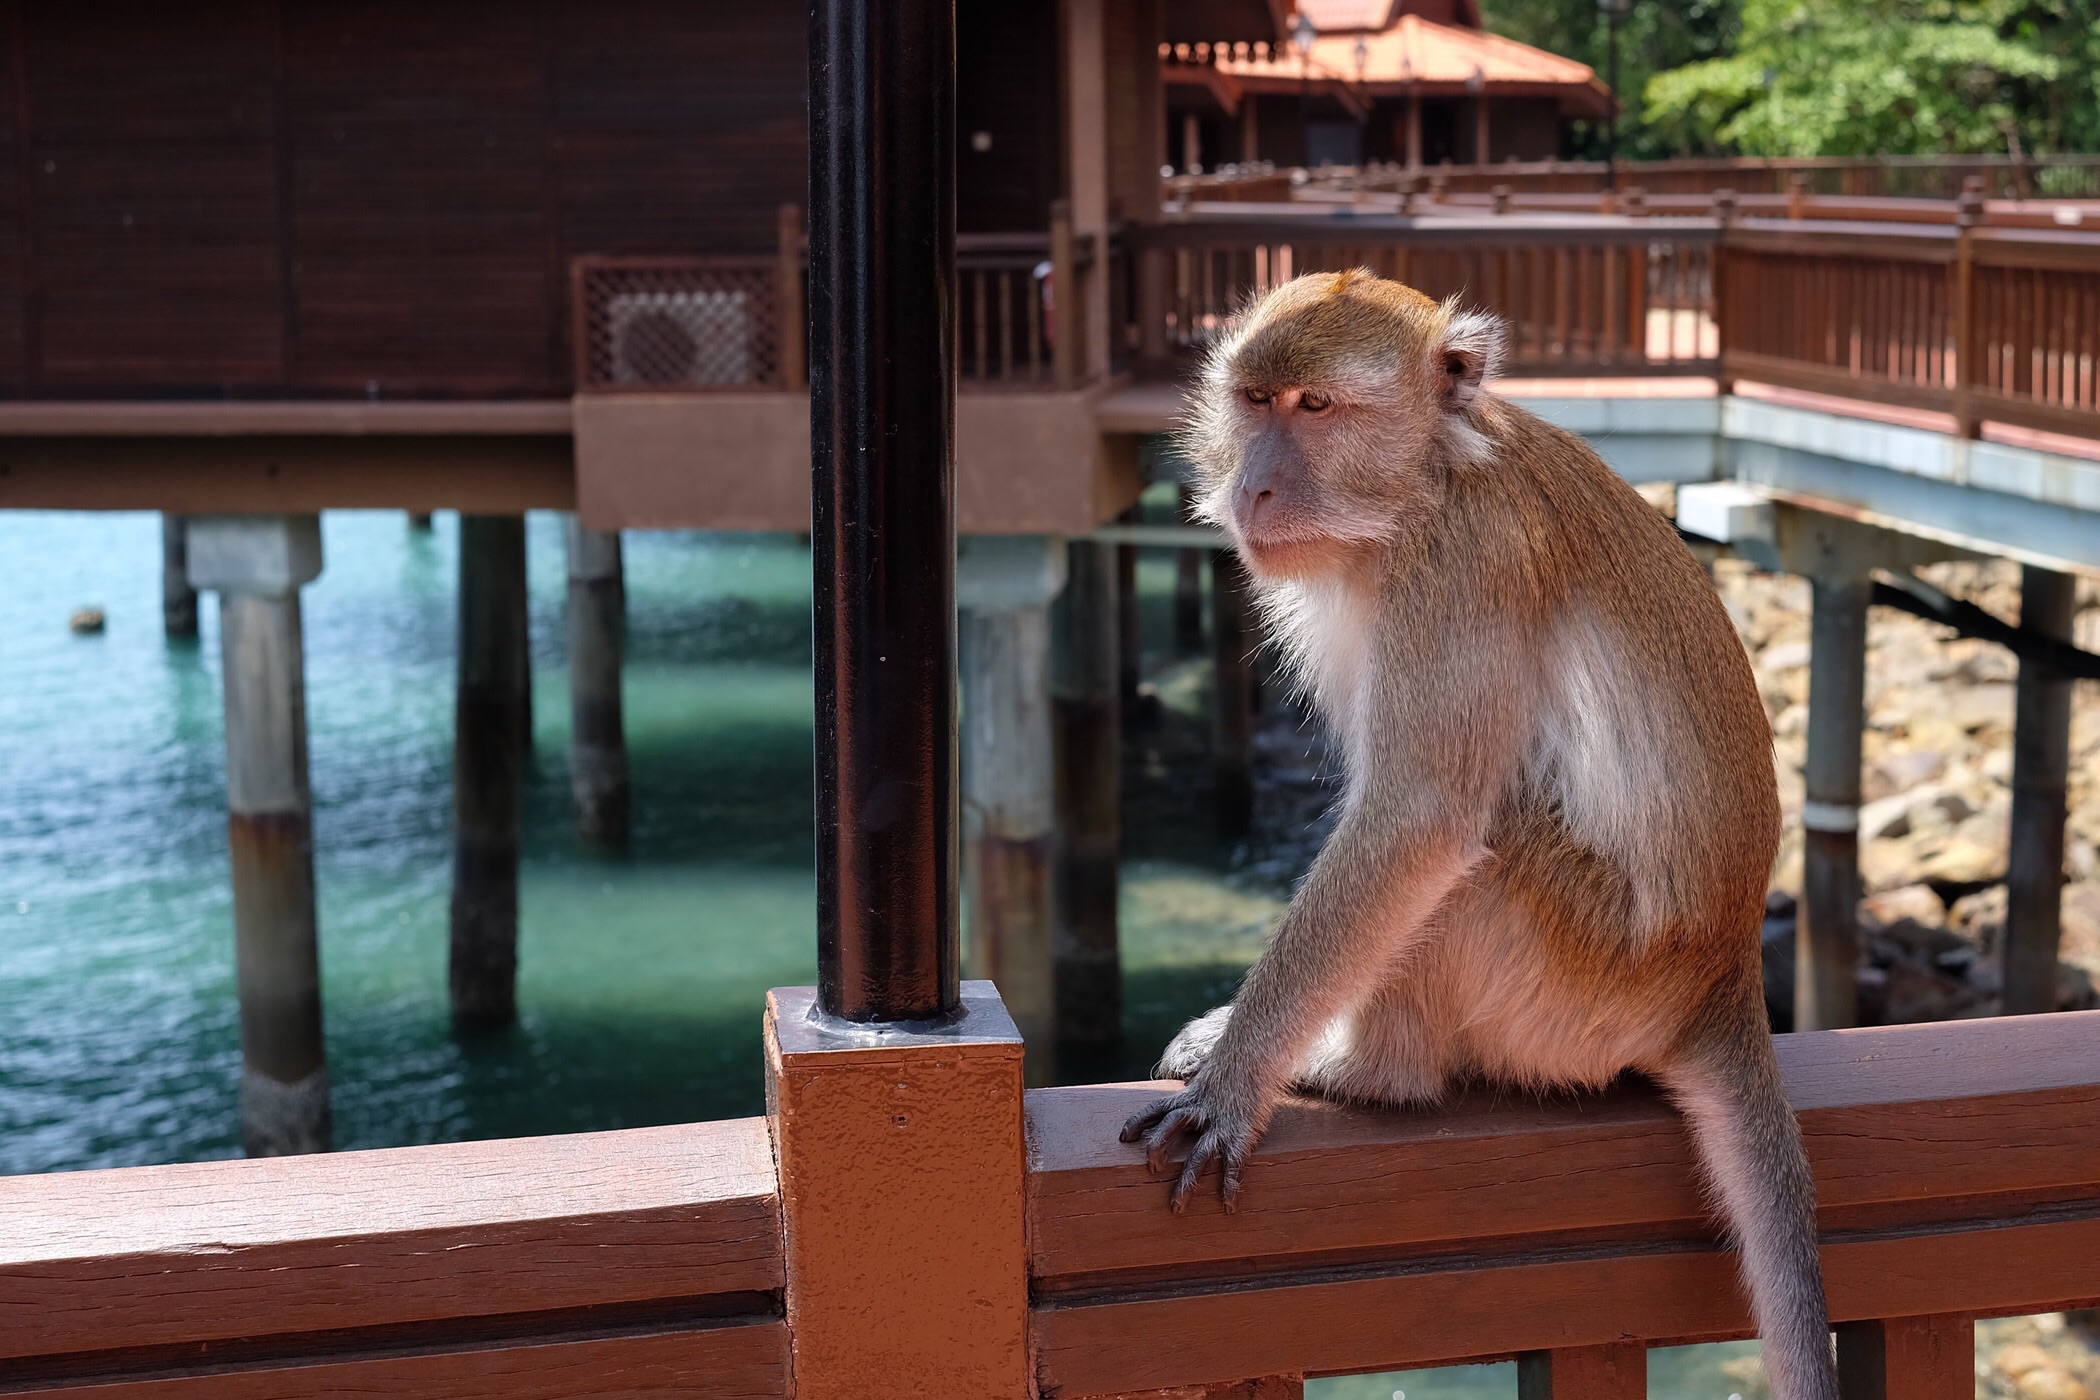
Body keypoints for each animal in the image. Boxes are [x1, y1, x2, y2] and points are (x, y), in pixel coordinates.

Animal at [1125, 272, 1831, 1400]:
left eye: (1315, 408)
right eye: (1254, 401)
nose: (1255, 489)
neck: (1425, 482)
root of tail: (1723, 975)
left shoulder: (1459, 572)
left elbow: (1415, 821)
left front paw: (1236, 1078)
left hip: (1582, 981)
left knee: (1479, 842)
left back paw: (1370, 1070)